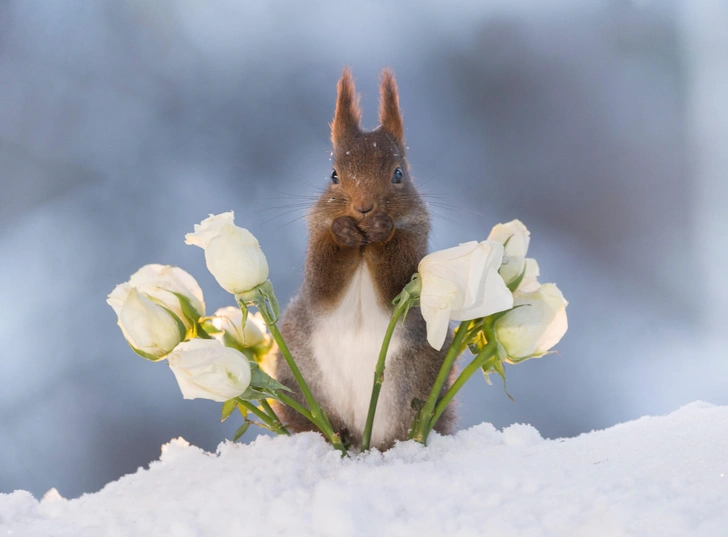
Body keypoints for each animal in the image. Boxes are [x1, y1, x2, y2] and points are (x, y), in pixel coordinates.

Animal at [272, 69, 456, 450]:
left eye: (399, 174)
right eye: (334, 175)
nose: (363, 207)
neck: (363, 250)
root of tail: (360, 437)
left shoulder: (415, 239)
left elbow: (395, 279)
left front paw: (382, 228)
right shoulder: (316, 244)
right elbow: (324, 281)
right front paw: (343, 231)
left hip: (414, 391)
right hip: (302, 388)